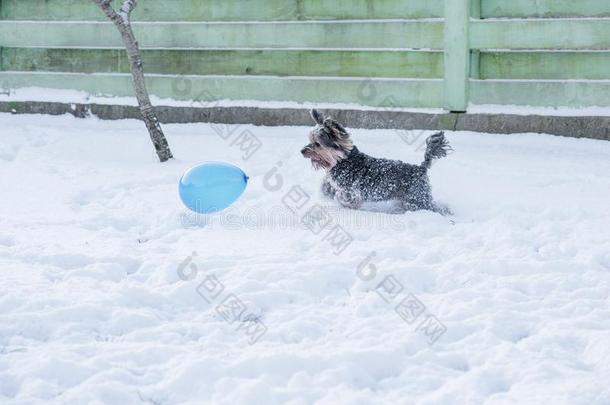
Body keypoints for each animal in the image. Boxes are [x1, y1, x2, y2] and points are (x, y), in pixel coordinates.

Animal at [300, 107, 452, 215]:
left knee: (435, 208)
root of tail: (421, 168)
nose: (302, 151)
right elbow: (327, 188)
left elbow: (343, 197)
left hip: (417, 198)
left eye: (317, 144)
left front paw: (345, 204)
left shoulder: (351, 191)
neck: (343, 160)